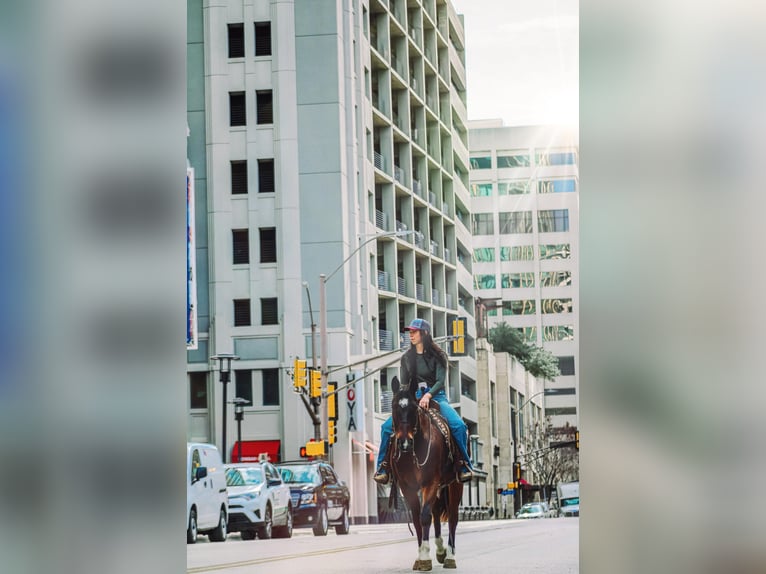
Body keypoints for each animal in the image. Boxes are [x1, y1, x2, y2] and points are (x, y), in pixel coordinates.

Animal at [390, 378, 462, 572]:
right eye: (394, 407)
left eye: (414, 409)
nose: (404, 443)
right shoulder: (407, 487)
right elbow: (417, 519)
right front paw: (421, 556)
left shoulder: (429, 483)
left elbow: (424, 517)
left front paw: (424, 557)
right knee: (436, 512)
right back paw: (440, 550)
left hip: (455, 484)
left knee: (452, 517)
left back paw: (450, 556)